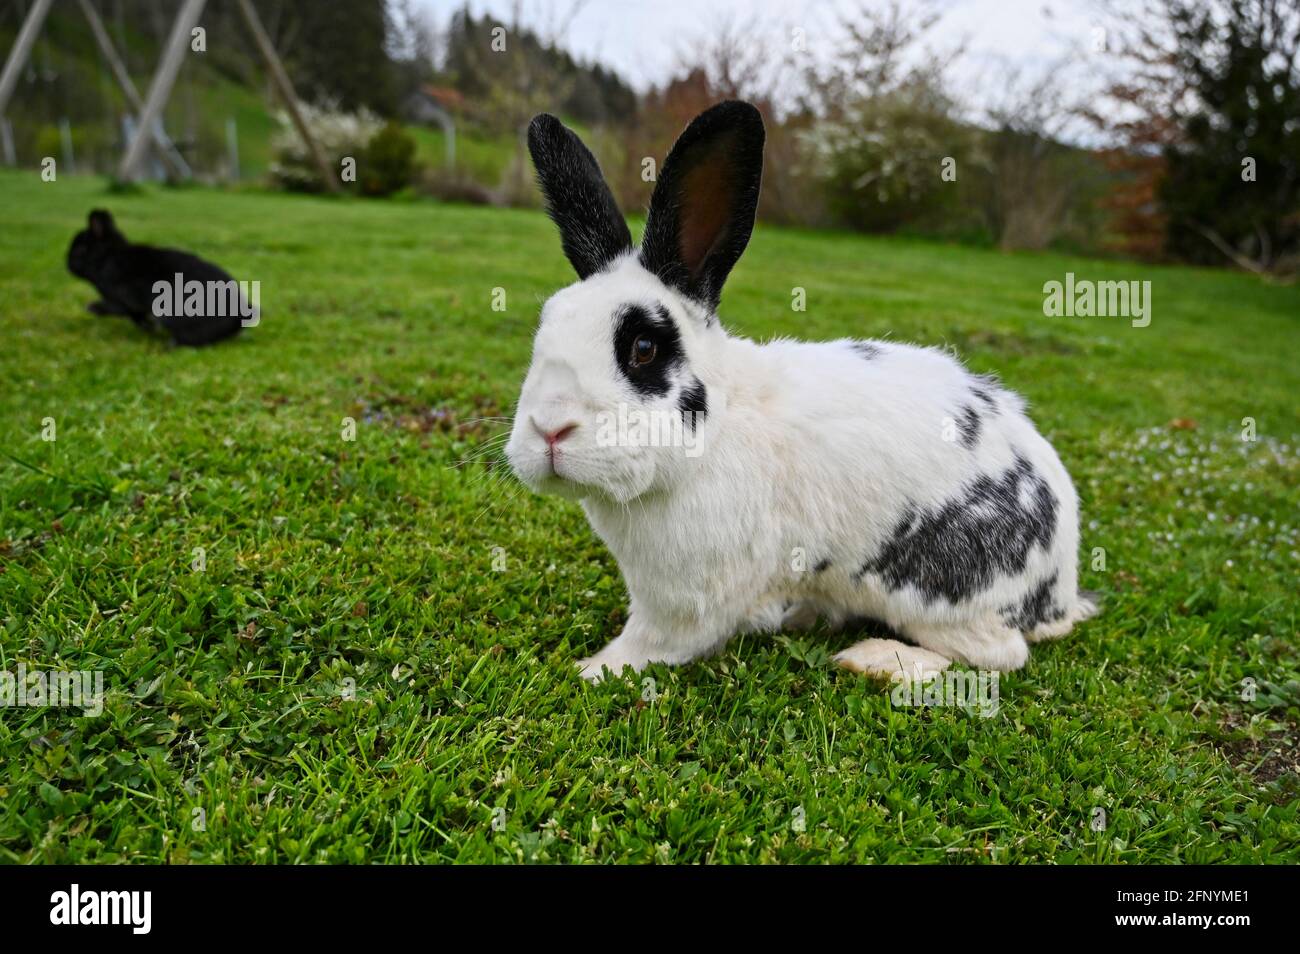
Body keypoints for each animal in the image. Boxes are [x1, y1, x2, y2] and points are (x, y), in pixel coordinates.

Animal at [67, 210, 248, 346]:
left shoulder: (121, 300)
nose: (67, 264)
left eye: (80, 250)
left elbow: (119, 310)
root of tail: (240, 313)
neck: (106, 257)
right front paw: (149, 328)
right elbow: (137, 318)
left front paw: (92, 308)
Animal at [506, 101, 1098, 683]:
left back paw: (878, 659)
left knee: (998, 654)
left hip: (935, 594)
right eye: (544, 328)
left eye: (645, 348)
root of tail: (1060, 588)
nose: (549, 429)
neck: (717, 433)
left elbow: (653, 643)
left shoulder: (685, 601)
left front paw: (593, 668)